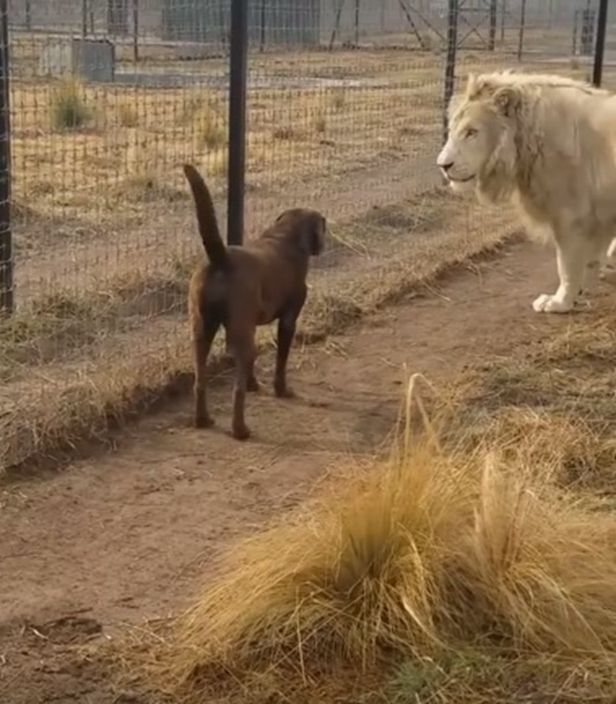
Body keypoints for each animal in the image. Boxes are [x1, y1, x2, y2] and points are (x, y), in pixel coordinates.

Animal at [436, 71, 616, 314]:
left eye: (471, 132)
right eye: (452, 131)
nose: (443, 165)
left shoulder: (571, 216)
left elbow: (566, 265)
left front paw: (559, 302)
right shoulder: (600, 216)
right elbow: (592, 259)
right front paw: (585, 288)